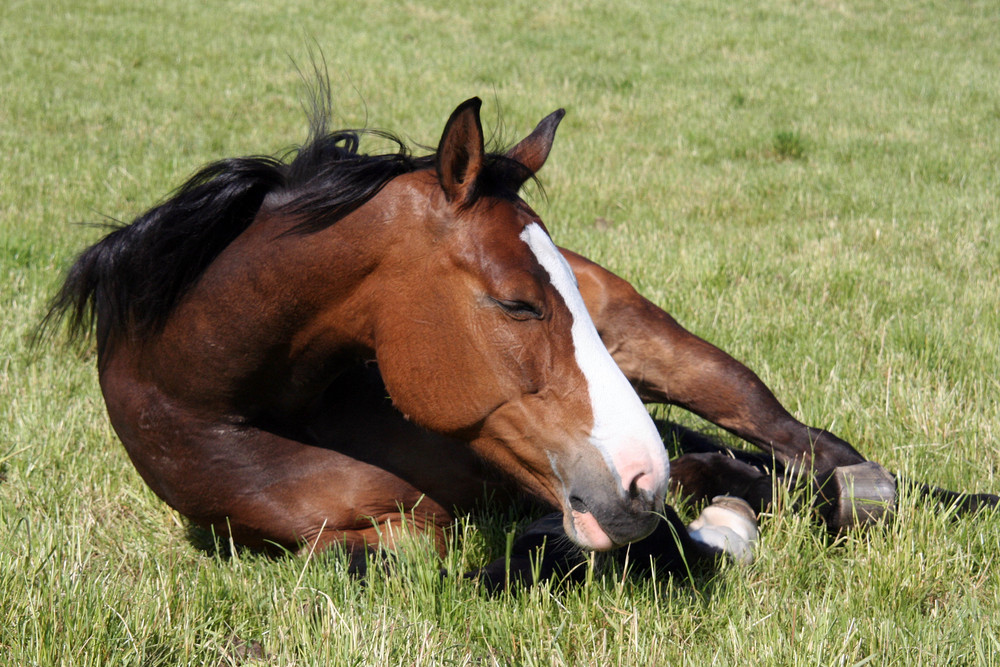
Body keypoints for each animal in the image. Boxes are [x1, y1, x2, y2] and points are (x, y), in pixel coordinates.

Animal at [48, 96, 1000, 588]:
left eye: (558, 293)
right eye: (515, 303)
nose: (638, 475)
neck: (209, 400)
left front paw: (716, 530)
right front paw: (716, 524)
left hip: (668, 357)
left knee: (807, 446)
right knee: (759, 465)